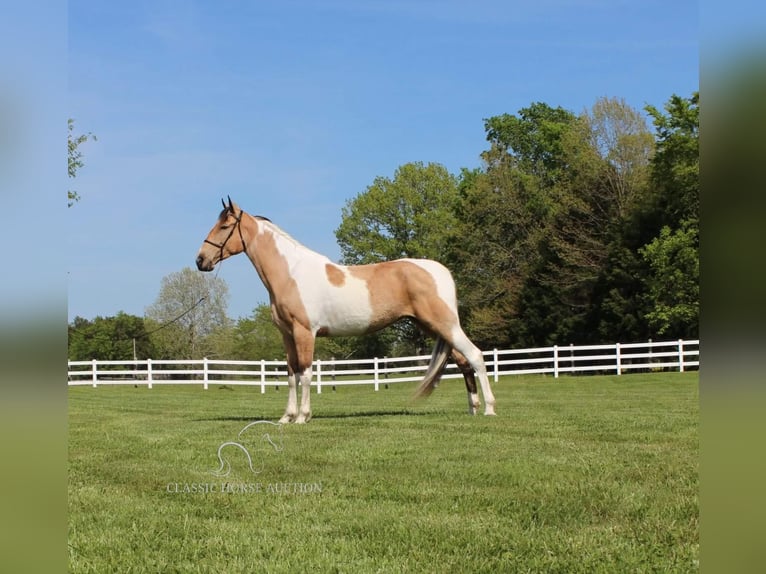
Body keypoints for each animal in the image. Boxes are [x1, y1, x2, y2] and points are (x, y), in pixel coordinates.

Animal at [196, 200, 498, 426]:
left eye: (225, 226)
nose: (200, 260)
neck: (291, 272)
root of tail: (441, 271)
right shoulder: (287, 334)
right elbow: (291, 375)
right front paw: (286, 417)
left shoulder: (305, 332)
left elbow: (305, 374)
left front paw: (303, 417)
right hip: (435, 327)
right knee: (462, 361)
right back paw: (472, 408)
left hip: (445, 324)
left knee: (476, 356)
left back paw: (489, 409)